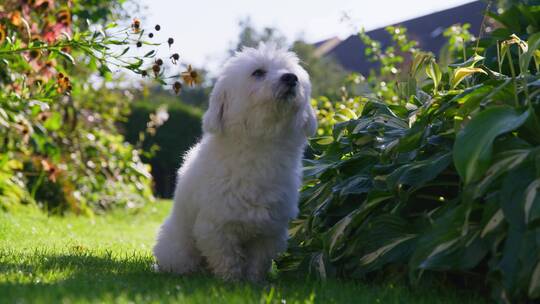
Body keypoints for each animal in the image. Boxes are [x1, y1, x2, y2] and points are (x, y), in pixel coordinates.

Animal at [152, 44, 316, 282]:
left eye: (289, 71)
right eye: (258, 72)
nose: (291, 78)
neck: (260, 146)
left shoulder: (269, 230)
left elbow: (258, 261)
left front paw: (254, 282)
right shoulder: (216, 227)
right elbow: (227, 258)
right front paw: (232, 282)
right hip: (178, 248)